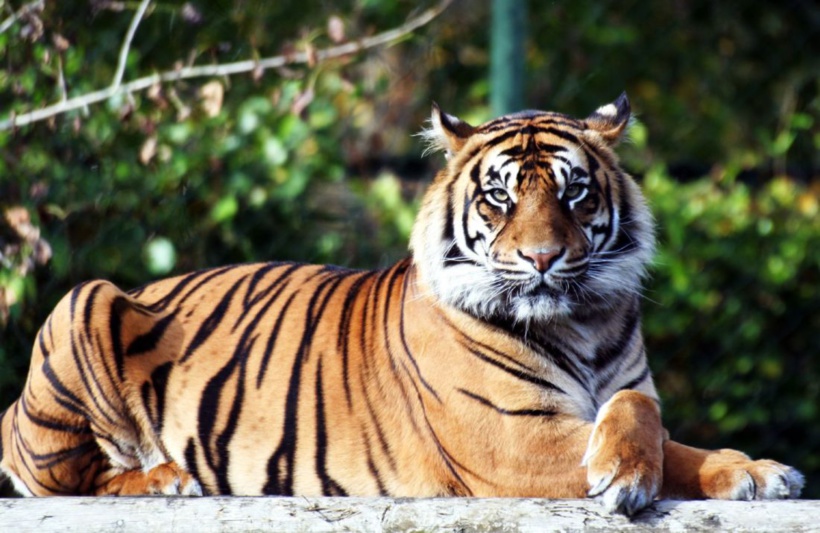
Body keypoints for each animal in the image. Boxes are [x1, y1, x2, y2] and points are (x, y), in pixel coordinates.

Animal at [0, 93, 804, 515]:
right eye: (499, 196)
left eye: (574, 192)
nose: (543, 258)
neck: (583, 318)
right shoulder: (510, 439)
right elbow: (658, 440)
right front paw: (647, 475)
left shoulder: (620, 391)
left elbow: (648, 415)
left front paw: (757, 468)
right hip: (85, 300)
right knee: (67, 478)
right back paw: (165, 476)